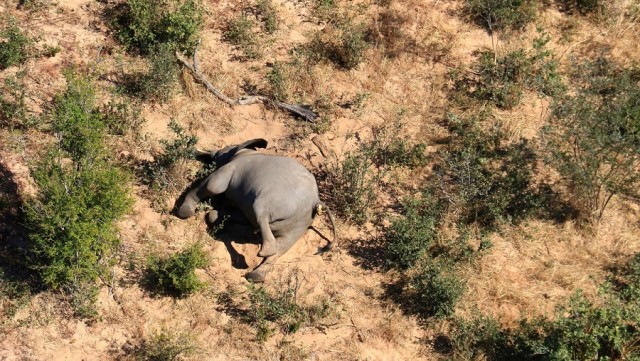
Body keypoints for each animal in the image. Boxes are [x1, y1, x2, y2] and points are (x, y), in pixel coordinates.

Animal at [172, 138, 338, 282]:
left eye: (222, 150)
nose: (203, 153)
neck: (245, 152)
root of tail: (316, 201)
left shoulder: (229, 170)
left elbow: (212, 187)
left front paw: (184, 211)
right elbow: (221, 215)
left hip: (273, 202)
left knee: (262, 218)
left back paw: (262, 249)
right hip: (299, 225)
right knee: (281, 246)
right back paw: (256, 274)